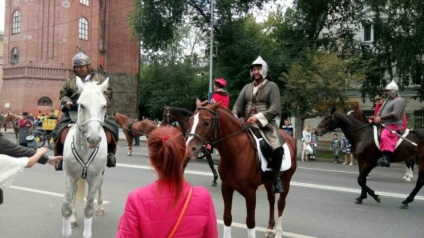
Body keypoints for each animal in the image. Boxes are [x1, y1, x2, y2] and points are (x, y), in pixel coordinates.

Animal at [62, 76, 110, 238]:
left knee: (101, 186)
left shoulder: (95, 177)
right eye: (81, 105)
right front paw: (70, 220)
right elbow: (68, 203)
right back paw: (73, 219)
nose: (94, 139)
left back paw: (100, 208)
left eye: (104, 106)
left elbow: (89, 207)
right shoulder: (70, 175)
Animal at [186, 102, 298, 238]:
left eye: (206, 122)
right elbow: (227, 217)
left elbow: (250, 222)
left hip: (286, 180)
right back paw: (270, 228)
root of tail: (290, 137)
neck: (235, 153)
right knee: (271, 200)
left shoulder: (250, 192)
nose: (189, 148)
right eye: (190, 120)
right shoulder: (226, 188)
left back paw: (278, 232)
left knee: (281, 203)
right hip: (268, 181)